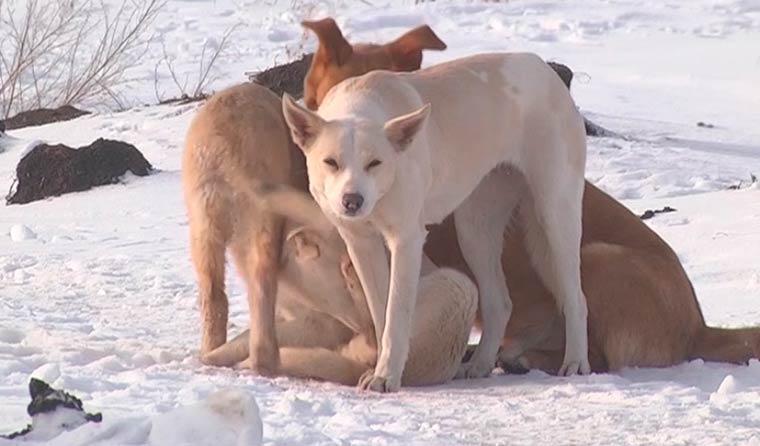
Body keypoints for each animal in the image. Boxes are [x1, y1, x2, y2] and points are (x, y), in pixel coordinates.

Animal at [282, 52, 592, 392]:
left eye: (375, 163)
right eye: (331, 162)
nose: (353, 201)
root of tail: (543, 67)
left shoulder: (407, 241)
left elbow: (397, 316)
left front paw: (387, 376)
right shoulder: (361, 243)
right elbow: (381, 313)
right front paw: (380, 368)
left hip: (555, 215)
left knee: (576, 299)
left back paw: (575, 362)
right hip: (475, 229)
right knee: (500, 303)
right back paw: (480, 364)